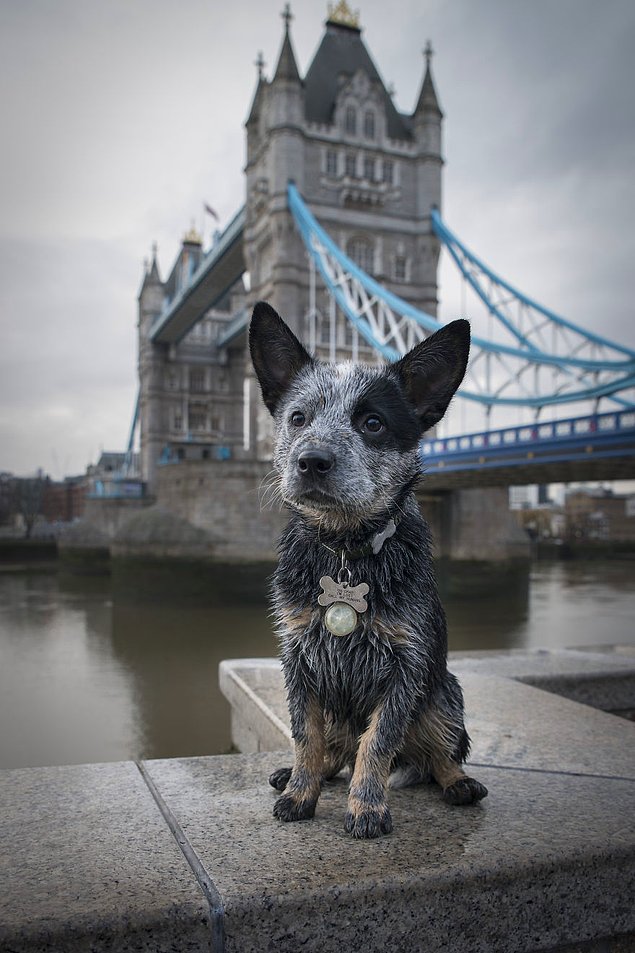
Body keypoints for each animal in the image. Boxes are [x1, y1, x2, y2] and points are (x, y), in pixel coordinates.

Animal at [248, 302, 486, 836]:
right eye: (297, 417)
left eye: (373, 423)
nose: (312, 460)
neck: (345, 551)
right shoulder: (299, 659)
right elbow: (305, 736)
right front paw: (300, 792)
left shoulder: (404, 668)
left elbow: (376, 744)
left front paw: (368, 808)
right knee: (333, 753)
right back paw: (300, 773)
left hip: (445, 695)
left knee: (440, 754)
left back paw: (459, 783)